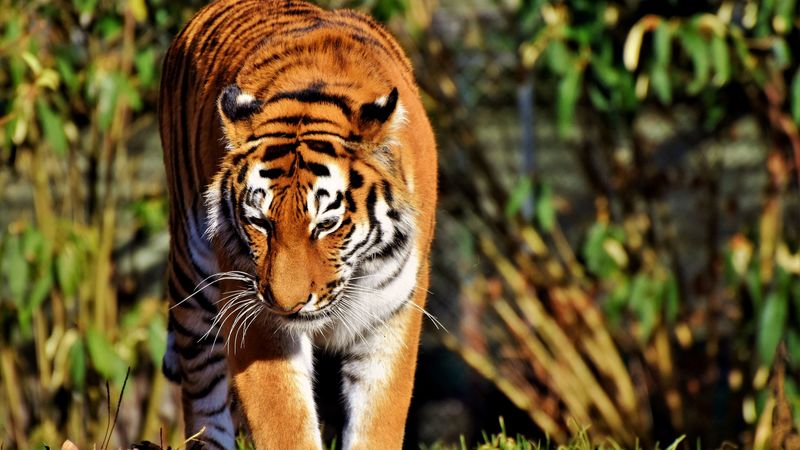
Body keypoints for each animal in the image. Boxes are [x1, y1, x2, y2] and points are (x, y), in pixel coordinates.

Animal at [157, 0, 437, 448]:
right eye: (259, 222)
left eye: (327, 224)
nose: (286, 304)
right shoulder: (256, 316)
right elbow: (285, 422)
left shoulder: (390, 315)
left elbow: (378, 421)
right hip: (193, 278)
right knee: (202, 395)